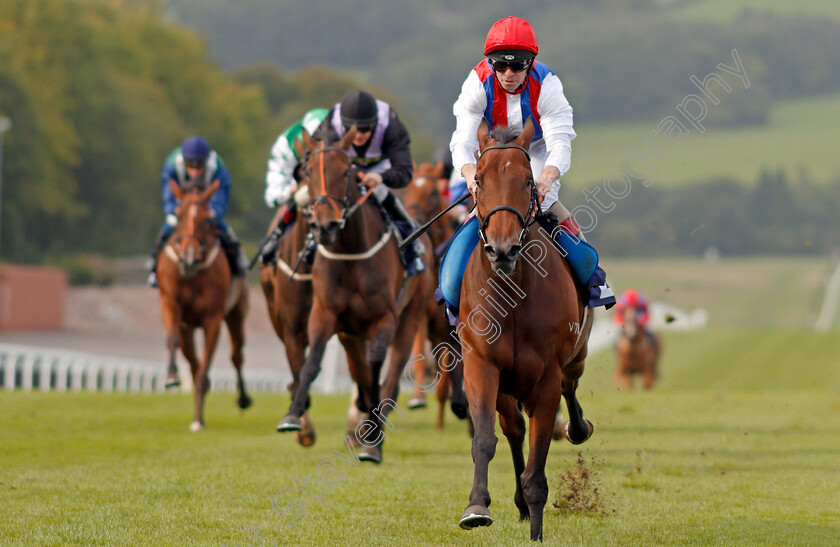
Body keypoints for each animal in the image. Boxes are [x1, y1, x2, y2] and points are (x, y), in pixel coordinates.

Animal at [156, 180, 251, 432]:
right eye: (178, 214)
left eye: (208, 220)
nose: (189, 257)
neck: (193, 275)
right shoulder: (171, 304)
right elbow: (172, 340)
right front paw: (172, 377)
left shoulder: (213, 318)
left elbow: (206, 367)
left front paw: (198, 420)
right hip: (188, 327)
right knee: (192, 361)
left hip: (236, 314)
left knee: (236, 355)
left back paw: (243, 398)